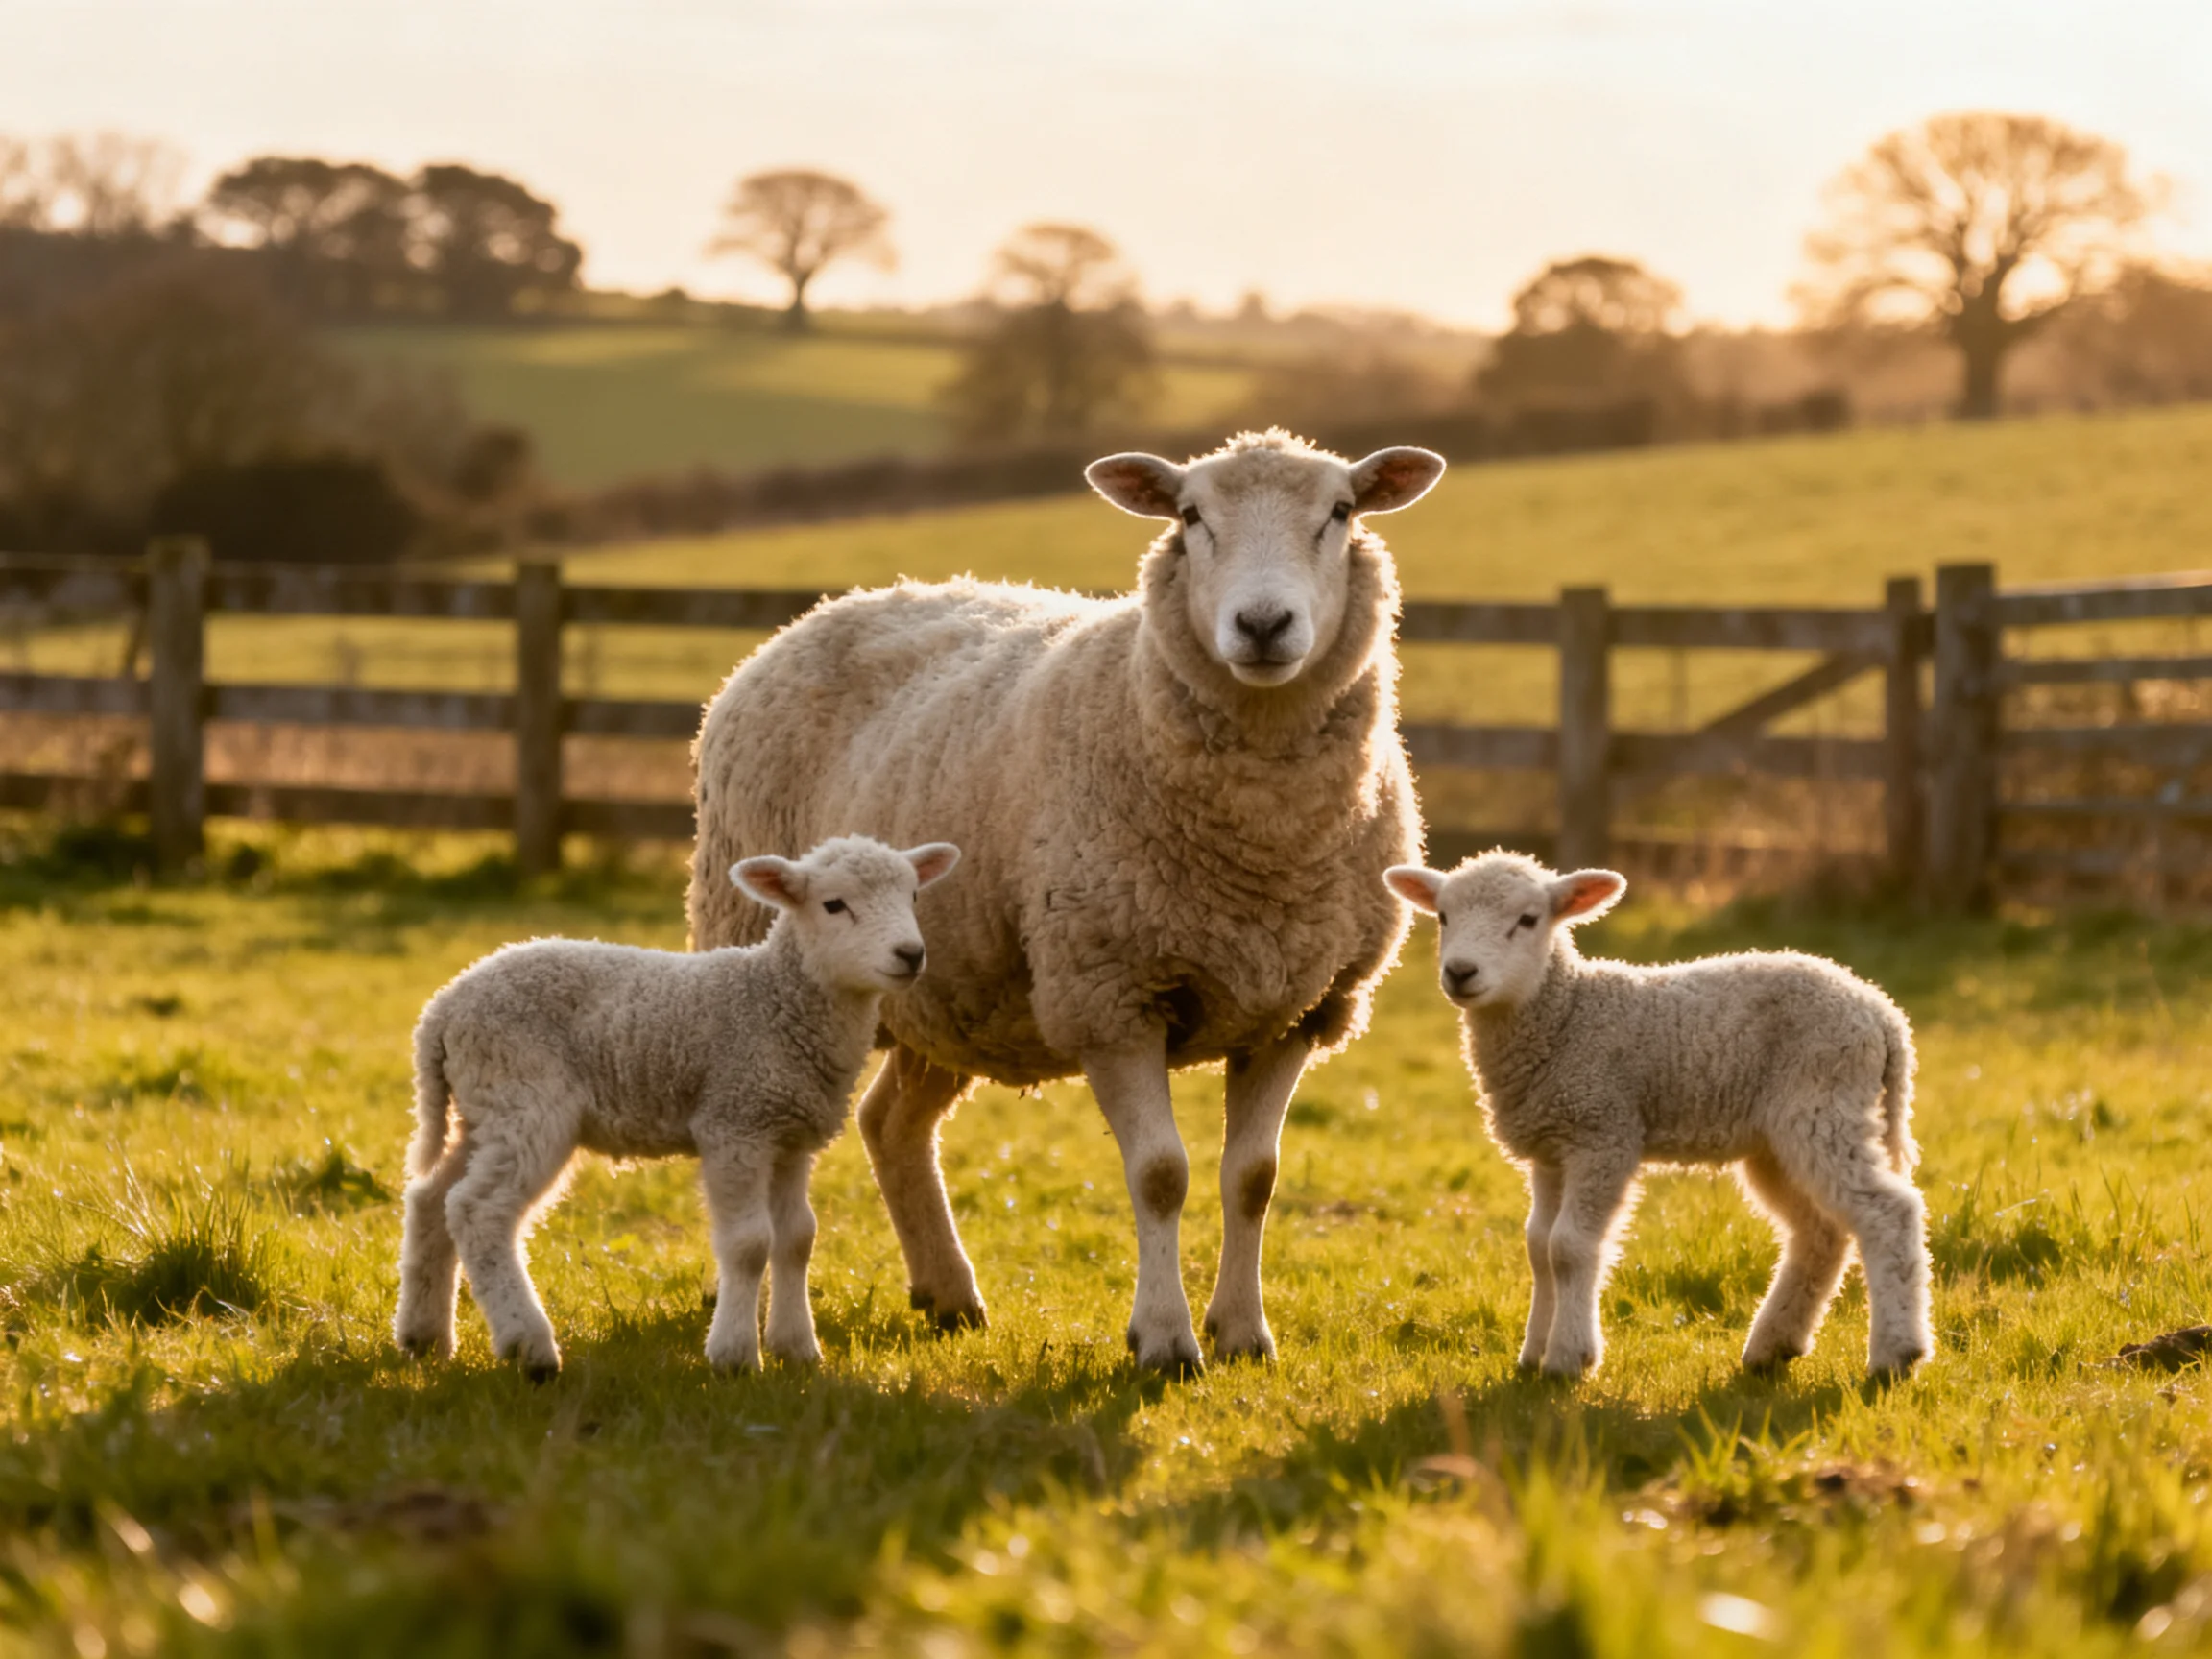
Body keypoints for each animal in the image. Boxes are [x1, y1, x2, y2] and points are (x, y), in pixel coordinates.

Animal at [393, 835, 961, 1378]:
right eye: (834, 904)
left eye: (913, 895)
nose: (910, 954)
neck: (775, 1000)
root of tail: (441, 1011)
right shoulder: (735, 1122)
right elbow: (749, 1244)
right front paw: (734, 1356)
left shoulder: (790, 1135)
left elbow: (798, 1239)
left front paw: (797, 1349)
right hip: (527, 1099)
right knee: (478, 1211)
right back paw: (529, 1347)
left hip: (483, 1109)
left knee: (431, 1199)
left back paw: (424, 1337)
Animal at [689, 430, 1446, 1374]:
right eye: (1190, 516)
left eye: (1341, 512)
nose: (1264, 626)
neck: (1263, 842)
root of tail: (823, 611)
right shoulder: (1109, 993)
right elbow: (1161, 1175)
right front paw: (1165, 1340)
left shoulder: (1298, 1008)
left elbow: (1253, 1179)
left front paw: (1243, 1332)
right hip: (754, 949)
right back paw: (733, 1293)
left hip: (952, 988)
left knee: (891, 1121)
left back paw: (949, 1294)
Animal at [1384, 850, 1932, 1380]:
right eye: (1443, 916)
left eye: (1528, 919)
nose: (1460, 972)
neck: (1566, 1013)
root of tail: (1882, 1012)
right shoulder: (1551, 1148)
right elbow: (1539, 1247)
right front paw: (1532, 1354)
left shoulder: (1603, 1131)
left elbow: (1568, 1247)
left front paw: (1567, 1359)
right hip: (1779, 1140)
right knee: (1820, 1232)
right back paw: (1773, 1346)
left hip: (1823, 1103)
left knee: (1889, 1213)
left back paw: (1895, 1354)